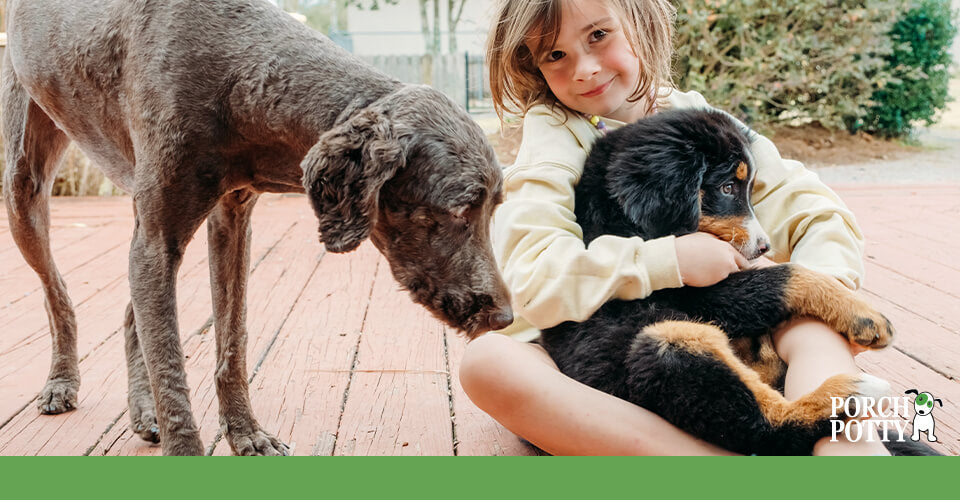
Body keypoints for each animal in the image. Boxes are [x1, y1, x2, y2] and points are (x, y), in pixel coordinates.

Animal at [3, 0, 512, 456]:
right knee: (57, 294)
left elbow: (233, 338)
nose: (504, 318)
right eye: (460, 210)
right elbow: (170, 365)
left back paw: (142, 411)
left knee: (132, 314)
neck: (240, 74)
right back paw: (61, 382)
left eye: (493, 208)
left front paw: (245, 432)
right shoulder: (159, 240)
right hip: (24, 187)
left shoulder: (230, 221)